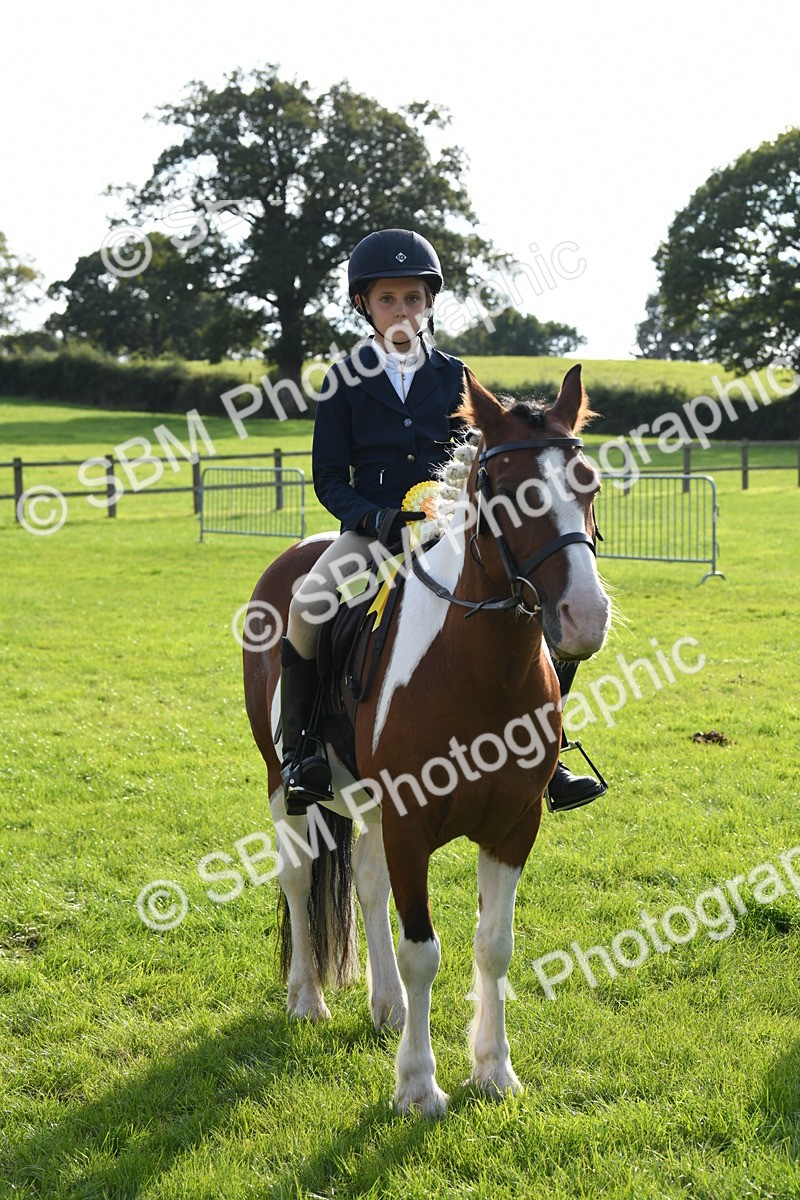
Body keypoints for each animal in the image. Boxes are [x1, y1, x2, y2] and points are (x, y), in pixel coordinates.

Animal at [243, 365, 611, 1115]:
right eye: (506, 490)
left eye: (587, 481)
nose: (584, 616)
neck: (479, 671)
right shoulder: (411, 825)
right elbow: (424, 951)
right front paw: (417, 1085)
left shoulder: (513, 827)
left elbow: (493, 946)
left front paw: (494, 1071)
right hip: (284, 783)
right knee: (299, 876)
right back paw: (307, 1000)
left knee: (364, 878)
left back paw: (385, 1006)